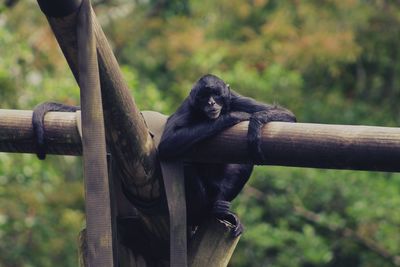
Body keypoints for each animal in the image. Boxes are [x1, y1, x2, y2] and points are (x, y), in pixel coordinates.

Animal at [158, 74, 296, 237]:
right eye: (204, 97)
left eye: (216, 94)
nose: (211, 102)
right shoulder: (188, 106)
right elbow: (166, 143)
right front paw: (234, 116)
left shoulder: (234, 98)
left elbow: (287, 114)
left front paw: (255, 124)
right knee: (186, 164)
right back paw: (206, 213)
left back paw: (220, 212)